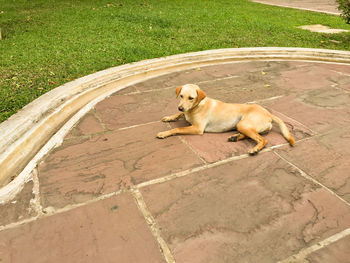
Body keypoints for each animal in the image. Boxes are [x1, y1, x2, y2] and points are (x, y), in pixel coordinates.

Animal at [157, 83, 296, 156]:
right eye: (181, 96)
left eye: (191, 98)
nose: (180, 107)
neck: (197, 106)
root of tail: (268, 114)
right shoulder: (185, 113)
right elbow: (178, 115)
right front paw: (169, 117)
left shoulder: (197, 128)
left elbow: (177, 128)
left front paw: (164, 133)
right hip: (242, 125)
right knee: (252, 135)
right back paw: (235, 137)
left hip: (243, 124)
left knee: (263, 139)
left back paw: (255, 149)